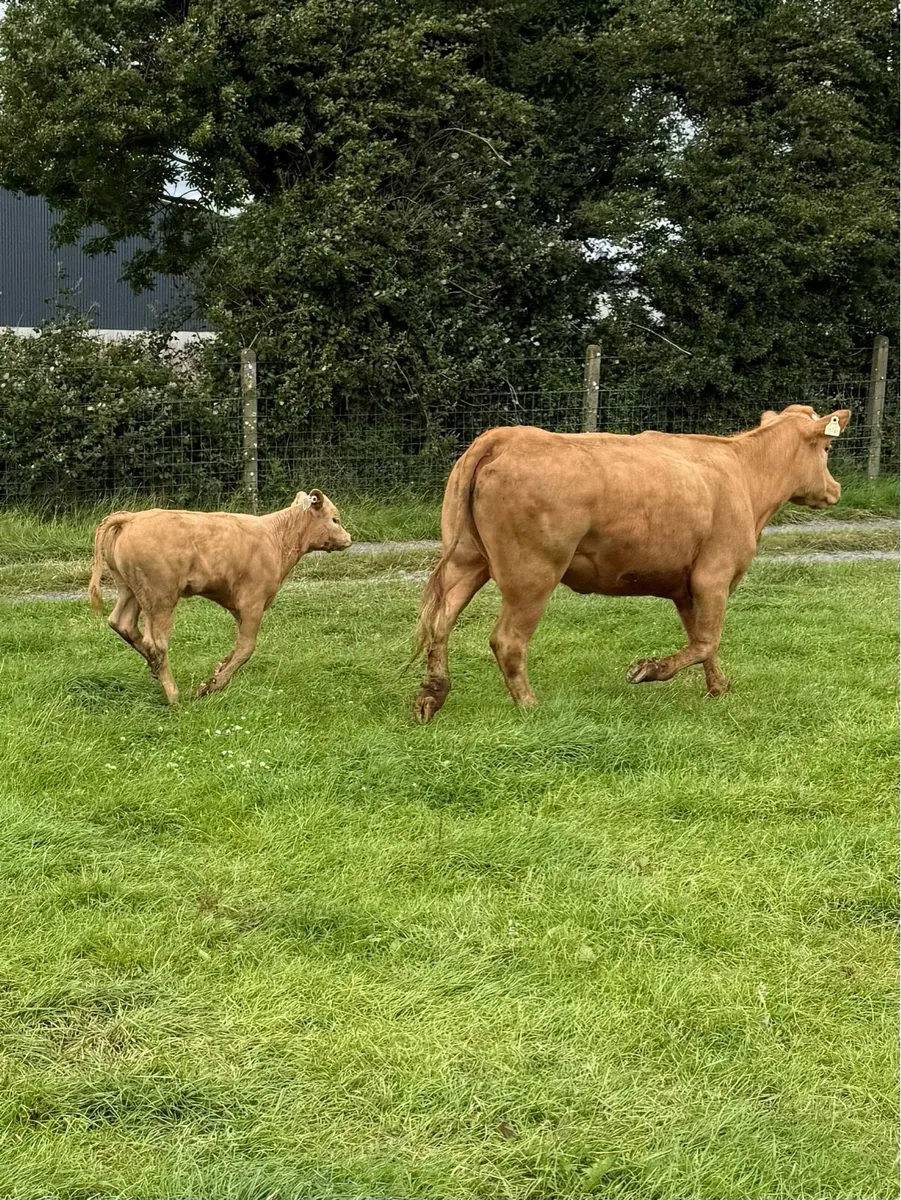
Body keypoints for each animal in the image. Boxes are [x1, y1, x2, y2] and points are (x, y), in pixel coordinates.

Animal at [88, 490, 351, 703]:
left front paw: (217, 671)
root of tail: (133, 518)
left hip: (130, 590)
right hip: (160, 598)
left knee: (122, 623)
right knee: (157, 642)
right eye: (335, 519)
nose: (348, 538)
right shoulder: (252, 603)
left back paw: (153, 667)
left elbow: (235, 648)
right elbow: (246, 647)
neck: (276, 537)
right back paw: (173, 696)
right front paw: (211, 686)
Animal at [412, 405, 851, 722]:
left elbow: (702, 641)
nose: (836, 489)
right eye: (827, 449)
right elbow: (707, 640)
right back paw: (530, 705)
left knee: (440, 623)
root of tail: (505, 436)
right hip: (531, 575)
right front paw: (649, 670)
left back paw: (432, 696)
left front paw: (718, 687)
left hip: (467, 559)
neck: (744, 472)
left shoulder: (687, 587)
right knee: (507, 640)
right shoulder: (714, 576)